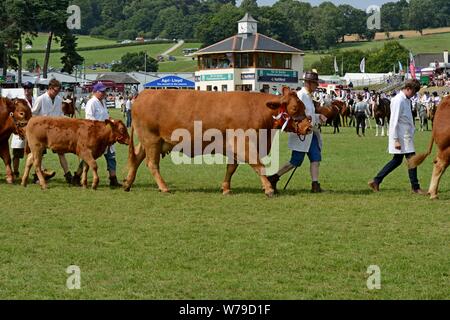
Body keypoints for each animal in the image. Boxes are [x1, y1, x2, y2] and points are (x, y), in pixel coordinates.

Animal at [123, 88, 312, 198]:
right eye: (295, 108)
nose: (309, 127)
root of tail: (143, 94)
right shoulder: (244, 144)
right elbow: (258, 165)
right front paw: (268, 188)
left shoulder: (234, 147)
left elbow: (231, 168)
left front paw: (226, 188)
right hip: (152, 140)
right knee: (151, 164)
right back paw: (163, 187)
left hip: (149, 141)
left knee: (136, 159)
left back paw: (127, 183)